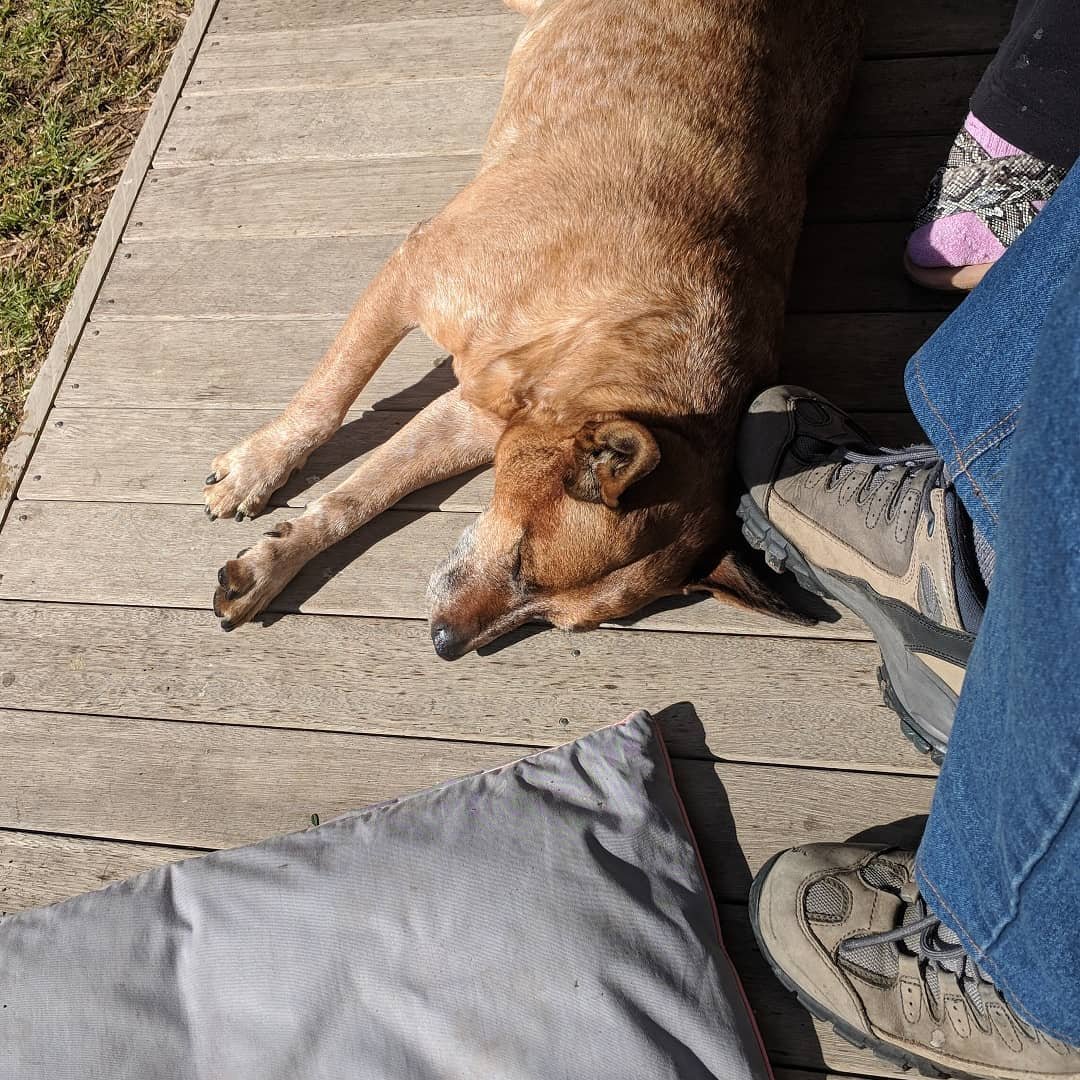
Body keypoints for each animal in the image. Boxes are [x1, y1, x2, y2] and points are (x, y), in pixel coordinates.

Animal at [203, 0, 859, 656]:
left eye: (551, 618)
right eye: (523, 561)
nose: (445, 644)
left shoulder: (476, 419)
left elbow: (362, 494)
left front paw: (269, 563)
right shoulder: (412, 273)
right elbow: (328, 399)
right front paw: (257, 468)